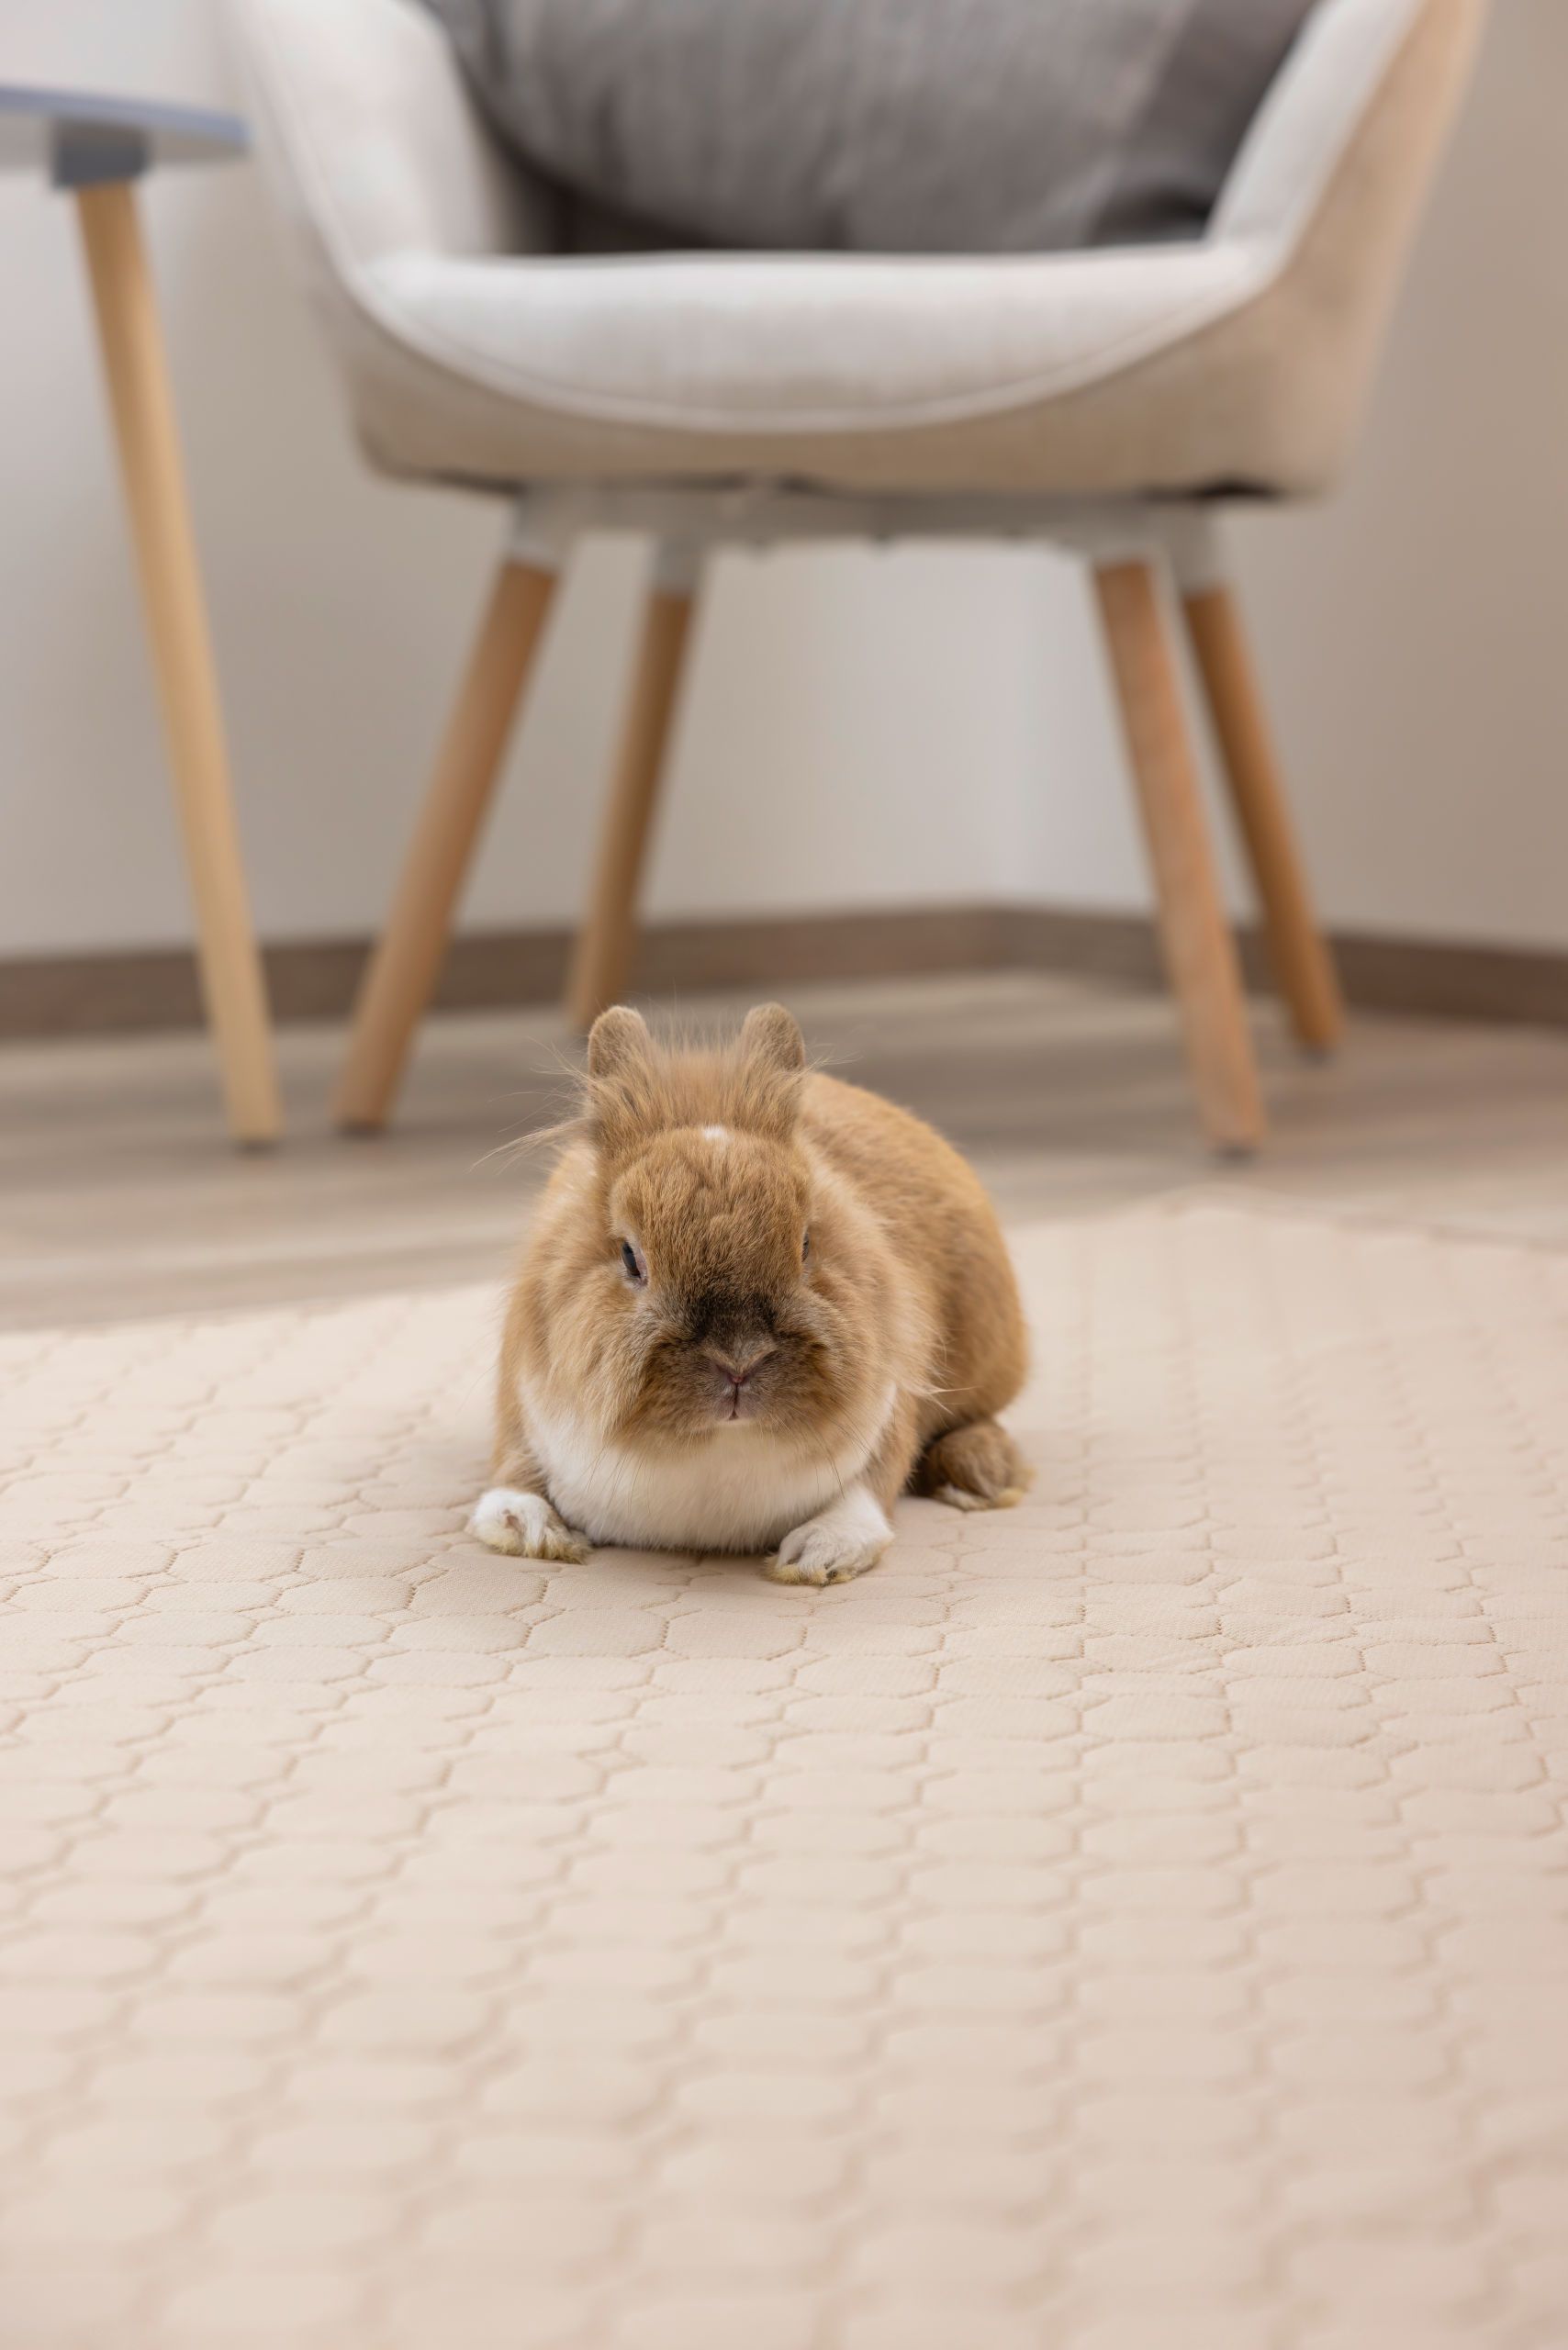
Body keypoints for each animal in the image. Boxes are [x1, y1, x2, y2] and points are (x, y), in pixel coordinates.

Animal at [471, 1002, 1028, 1585]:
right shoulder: (522, 1407)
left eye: (805, 1244)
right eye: (629, 1257)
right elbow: (511, 1474)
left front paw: (820, 1554)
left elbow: (869, 1492)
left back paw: (981, 1475)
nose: (739, 1362)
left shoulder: (890, 1410)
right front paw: (529, 1528)